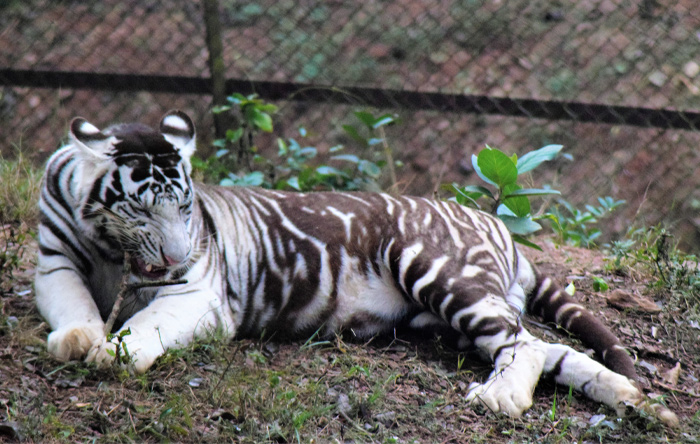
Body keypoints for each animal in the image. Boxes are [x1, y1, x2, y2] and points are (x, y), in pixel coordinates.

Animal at [35, 110, 677, 426]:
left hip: (442, 273)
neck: (113, 249)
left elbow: (143, 326)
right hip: (447, 319)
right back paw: (636, 401)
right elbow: (72, 304)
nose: (174, 256)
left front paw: (113, 352)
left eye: (186, 208)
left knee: (526, 347)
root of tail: (497, 227)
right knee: (549, 349)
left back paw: (501, 399)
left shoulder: (195, 294)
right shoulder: (53, 262)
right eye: (143, 207)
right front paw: (78, 338)